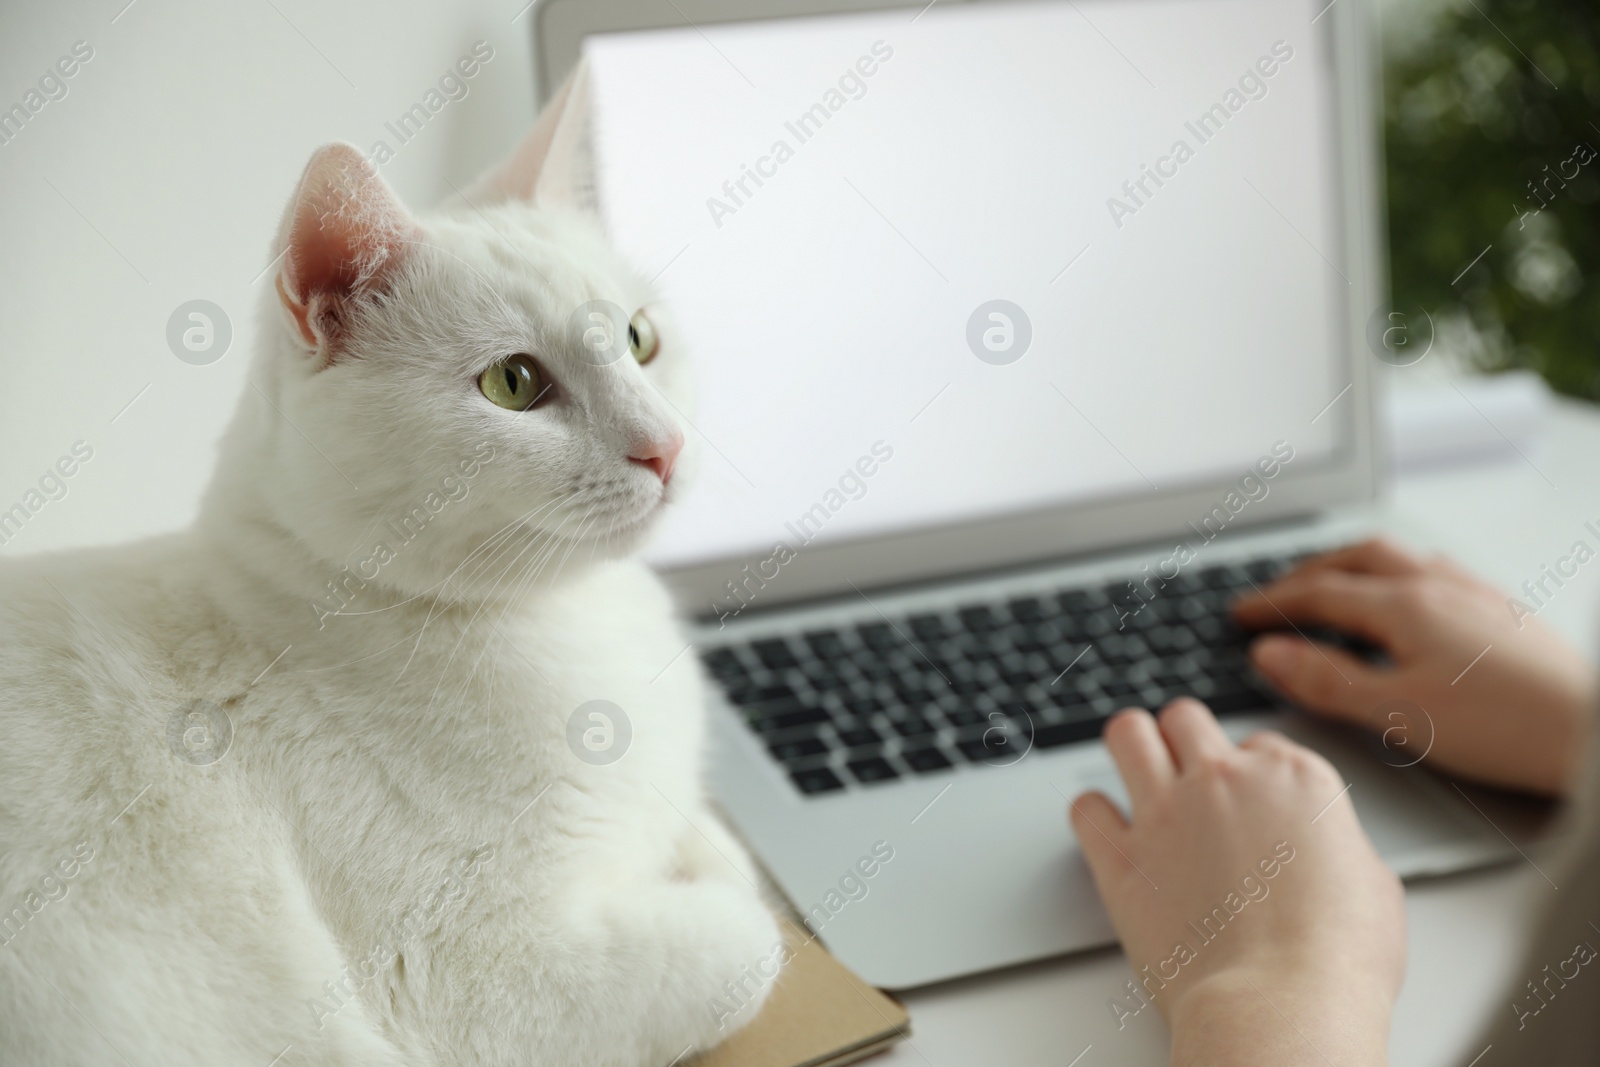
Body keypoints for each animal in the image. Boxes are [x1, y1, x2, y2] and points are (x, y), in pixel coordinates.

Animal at [0, 66, 780, 1067]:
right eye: (514, 384)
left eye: (641, 338)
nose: (666, 445)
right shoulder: (478, 976)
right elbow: (747, 937)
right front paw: (719, 889)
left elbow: (706, 837)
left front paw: (703, 847)